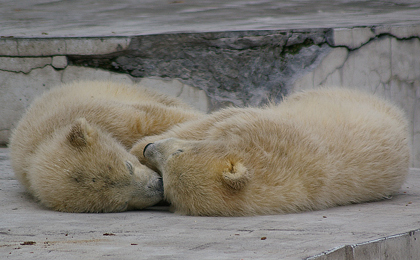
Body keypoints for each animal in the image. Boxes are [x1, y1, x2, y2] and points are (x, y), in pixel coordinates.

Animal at [133, 88, 412, 216]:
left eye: (175, 154)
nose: (149, 150)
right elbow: (216, 120)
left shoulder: (266, 131)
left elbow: (221, 118)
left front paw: (137, 147)